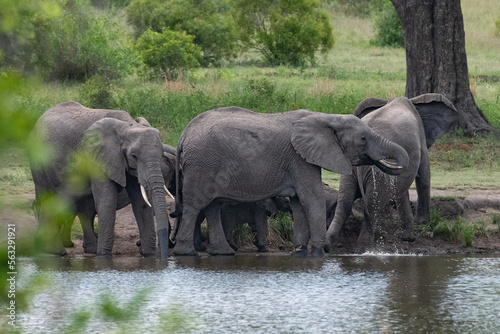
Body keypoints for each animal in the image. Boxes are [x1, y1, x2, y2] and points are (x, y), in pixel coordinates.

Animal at [29, 100, 175, 258]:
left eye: (161, 154)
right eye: (134, 156)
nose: (165, 256)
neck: (127, 125)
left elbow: (140, 203)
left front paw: (148, 255)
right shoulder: (97, 157)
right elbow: (106, 202)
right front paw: (104, 257)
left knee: (82, 208)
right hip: (38, 159)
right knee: (47, 198)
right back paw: (55, 251)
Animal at [170, 105, 408, 258]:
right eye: (363, 139)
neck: (327, 118)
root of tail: (183, 135)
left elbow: (298, 203)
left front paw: (300, 252)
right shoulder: (299, 158)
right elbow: (312, 198)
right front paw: (319, 253)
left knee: (212, 206)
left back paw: (223, 253)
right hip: (202, 165)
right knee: (195, 206)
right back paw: (187, 253)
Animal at [326, 92, 458, 252]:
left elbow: (401, 189)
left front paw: (408, 238)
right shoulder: (420, 138)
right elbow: (424, 177)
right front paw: (421, 223)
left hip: (350, 169)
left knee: (345, 202)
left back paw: (328, 244)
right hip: (377, 171)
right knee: (372, 205)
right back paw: (365, 249)